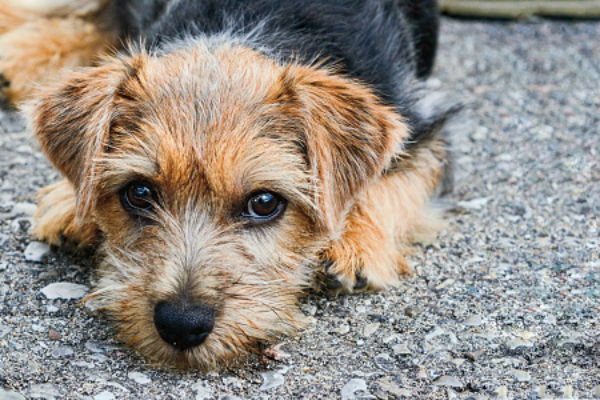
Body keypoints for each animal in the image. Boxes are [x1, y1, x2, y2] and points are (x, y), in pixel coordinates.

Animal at [0, 0, 458, 368]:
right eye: (139, 193)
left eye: (265, 202)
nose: (181, 325)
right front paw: (70, 200)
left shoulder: (426, 128)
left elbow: (395, 181)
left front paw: (358, 242)